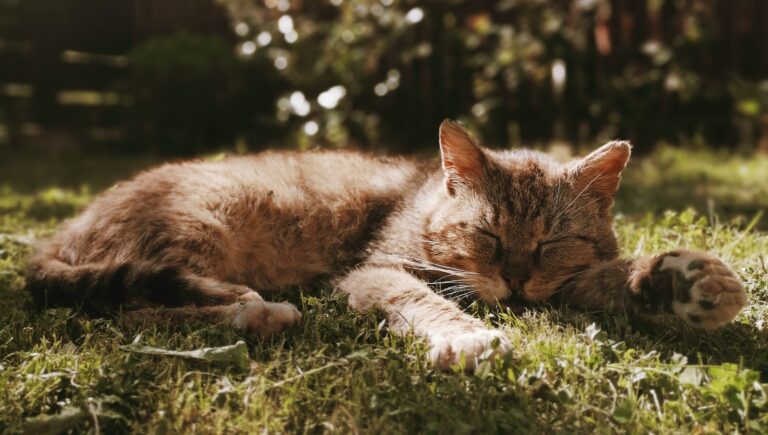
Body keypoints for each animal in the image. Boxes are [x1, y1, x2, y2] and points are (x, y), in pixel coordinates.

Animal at [27, 121, 748, 370]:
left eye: (551, 243)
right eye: (487, 234)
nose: (516, 283)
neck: (423, 201)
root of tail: (58, 234)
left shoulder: (569, 281)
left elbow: (615, 275)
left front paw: (687, 281)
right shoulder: (373, 270)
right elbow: (421, 297)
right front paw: (466, 336)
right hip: (198, 225)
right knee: (135, 310)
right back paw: (256, 312)